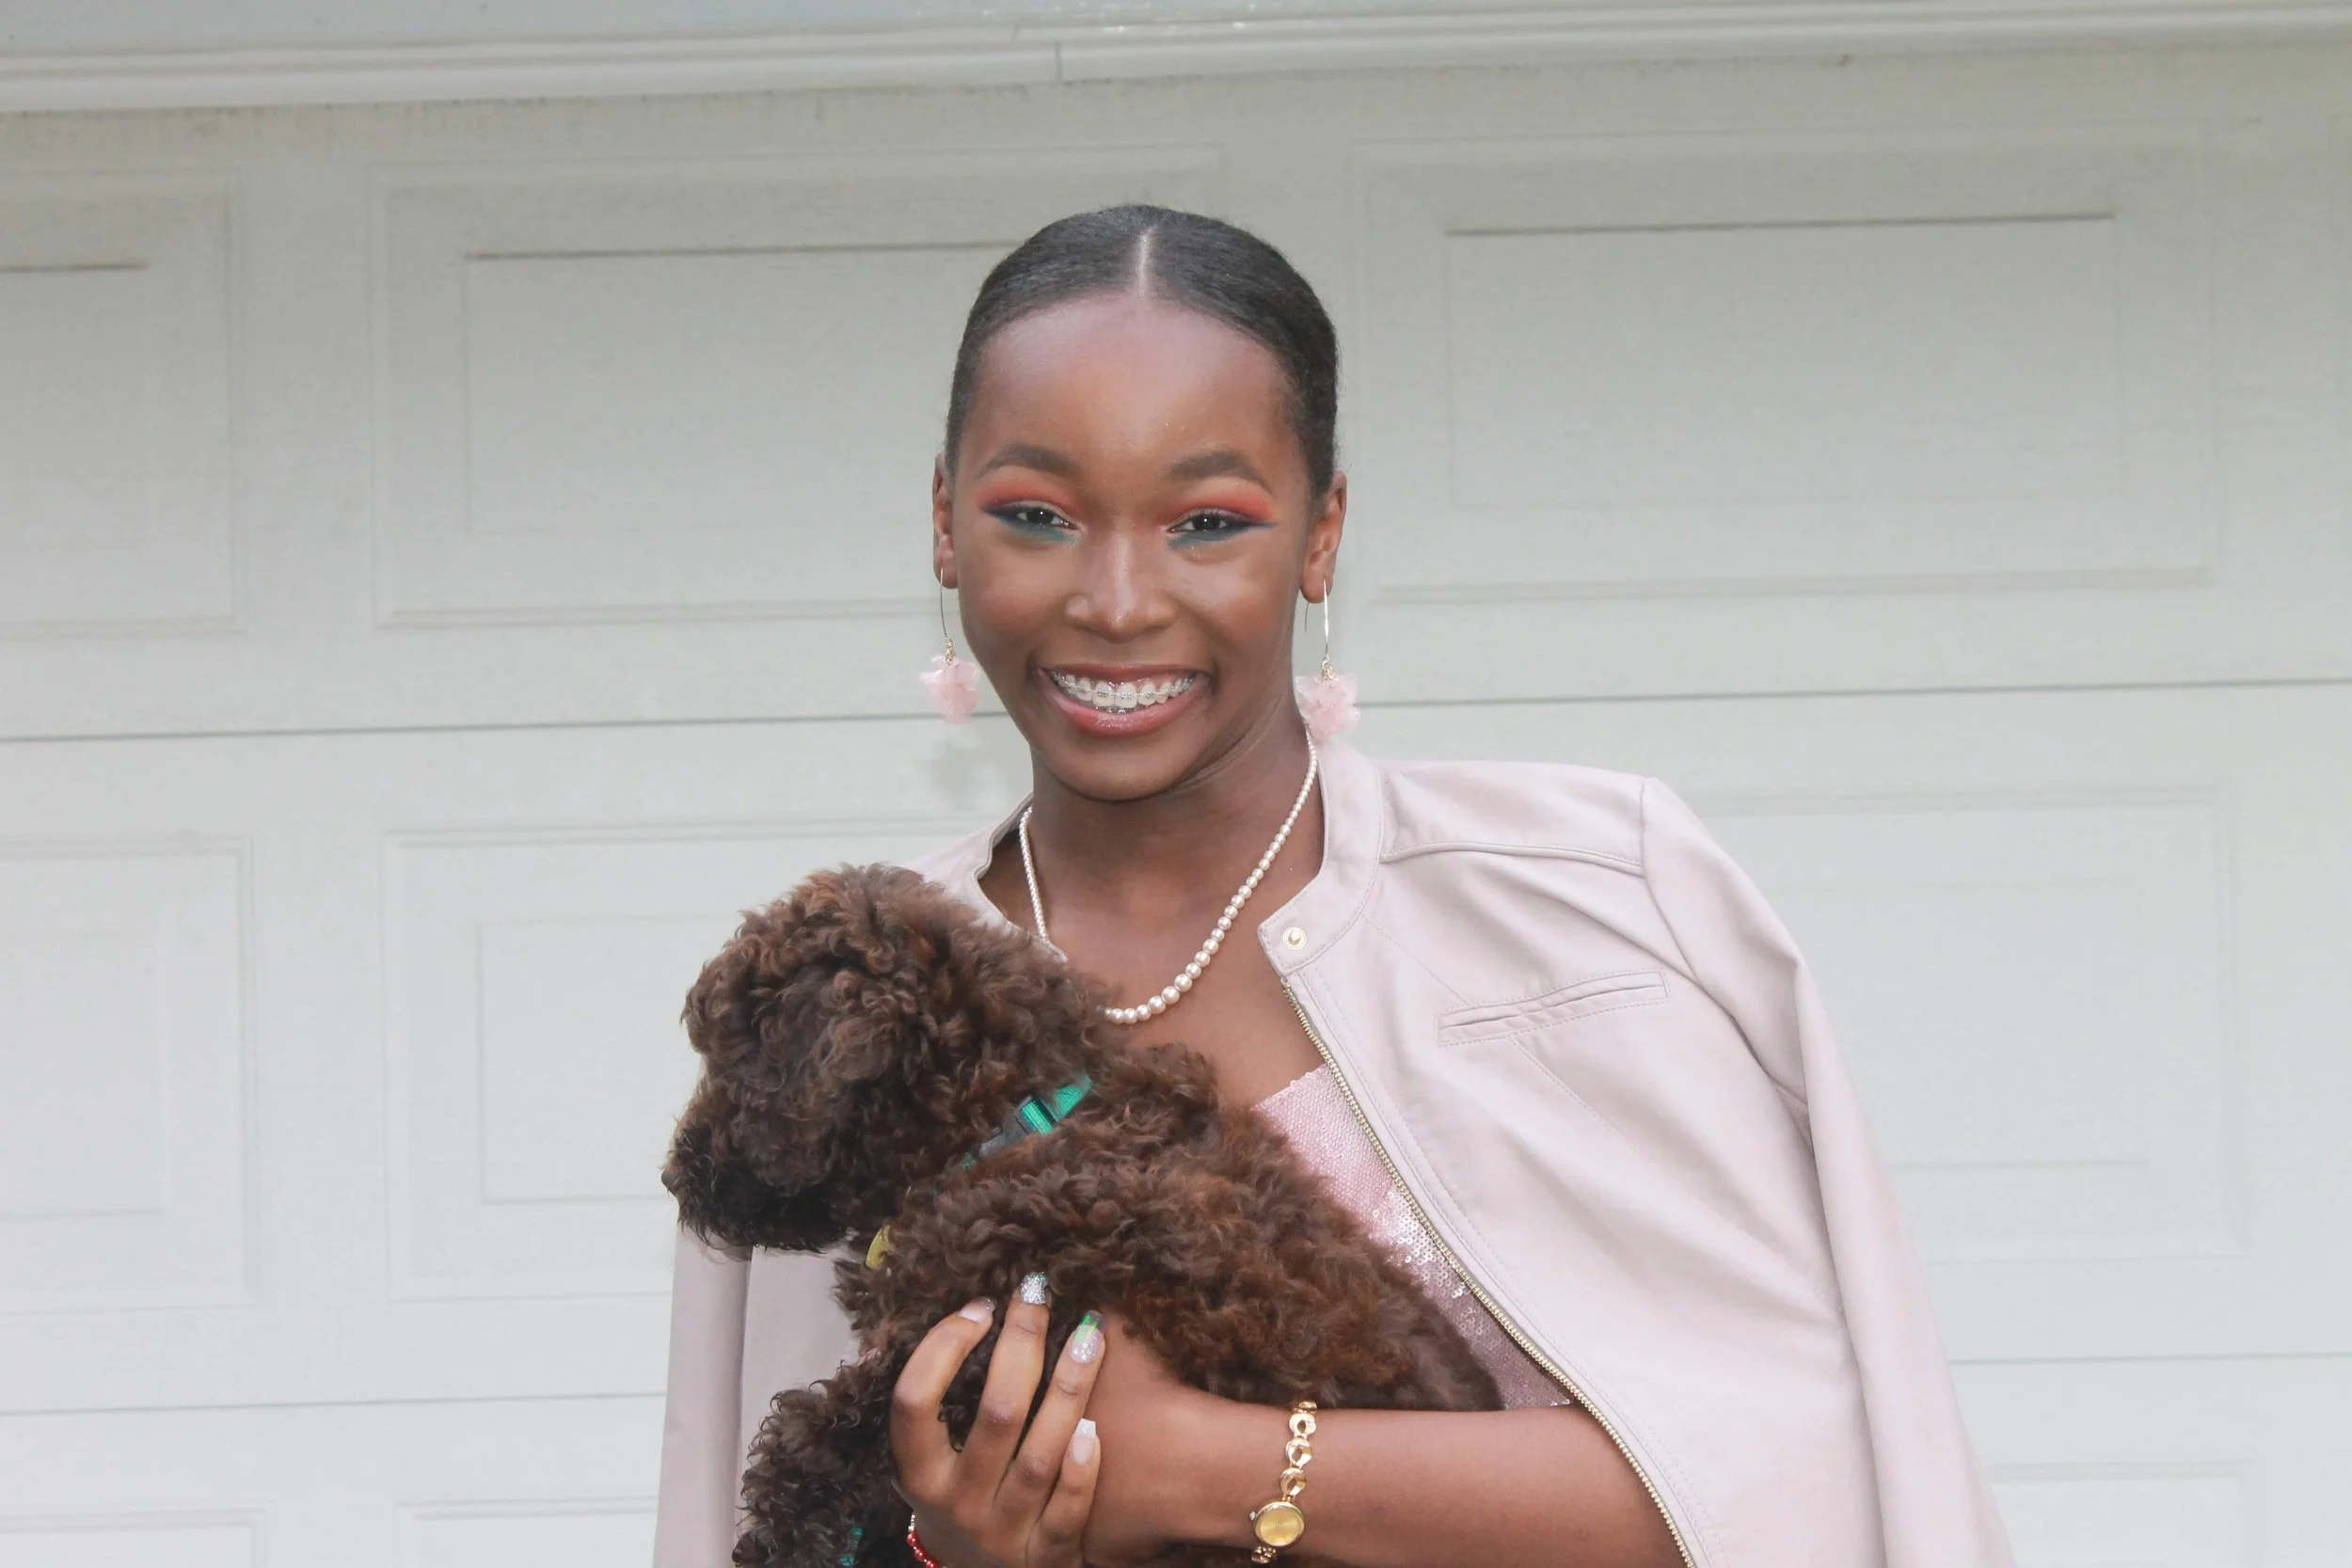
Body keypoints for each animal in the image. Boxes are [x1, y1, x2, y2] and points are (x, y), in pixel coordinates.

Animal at [664, 864, 1501, 1568]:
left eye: (727, 1059)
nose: (674, 1178)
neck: (1008, 1119)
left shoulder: (1010, 1317)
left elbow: (826, 1423)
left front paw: (778, 1535)